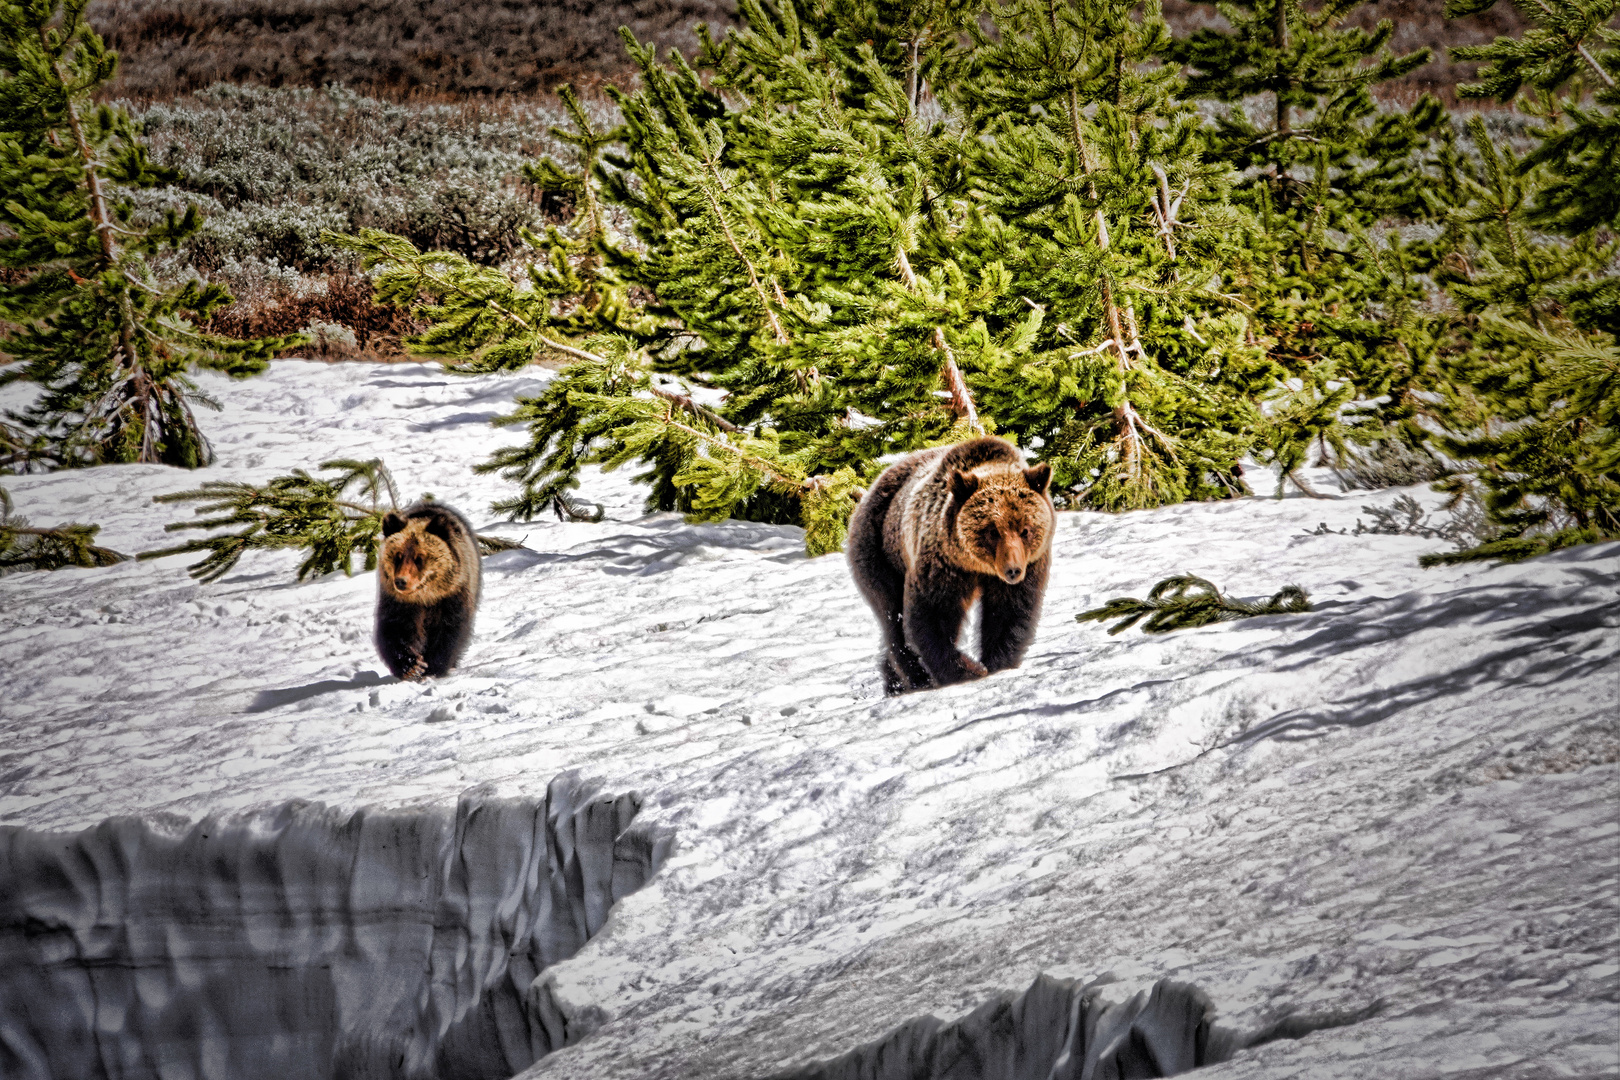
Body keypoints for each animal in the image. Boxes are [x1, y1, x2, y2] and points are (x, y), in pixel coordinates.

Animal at [374, 501, 479, 680]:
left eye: (419, 558)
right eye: (398, 555)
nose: (401, 581)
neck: (425, 597)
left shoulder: (451, 597)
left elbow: (449, 630)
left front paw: (433, 668)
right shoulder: (398, 602)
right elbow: (394, 629)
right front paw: (412, 665)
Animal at [842, 437, 1056, 696]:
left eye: (1025, 529)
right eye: (992, 531)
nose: (1013, 570)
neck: (978, 566)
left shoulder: (1029, 564)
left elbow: (1009, 613)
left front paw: (997, 663)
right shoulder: (942, 563)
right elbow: (932, 615)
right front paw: (965, 670)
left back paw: (894, 681)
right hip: (880, 552)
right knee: (892, 616)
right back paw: (914, 678)